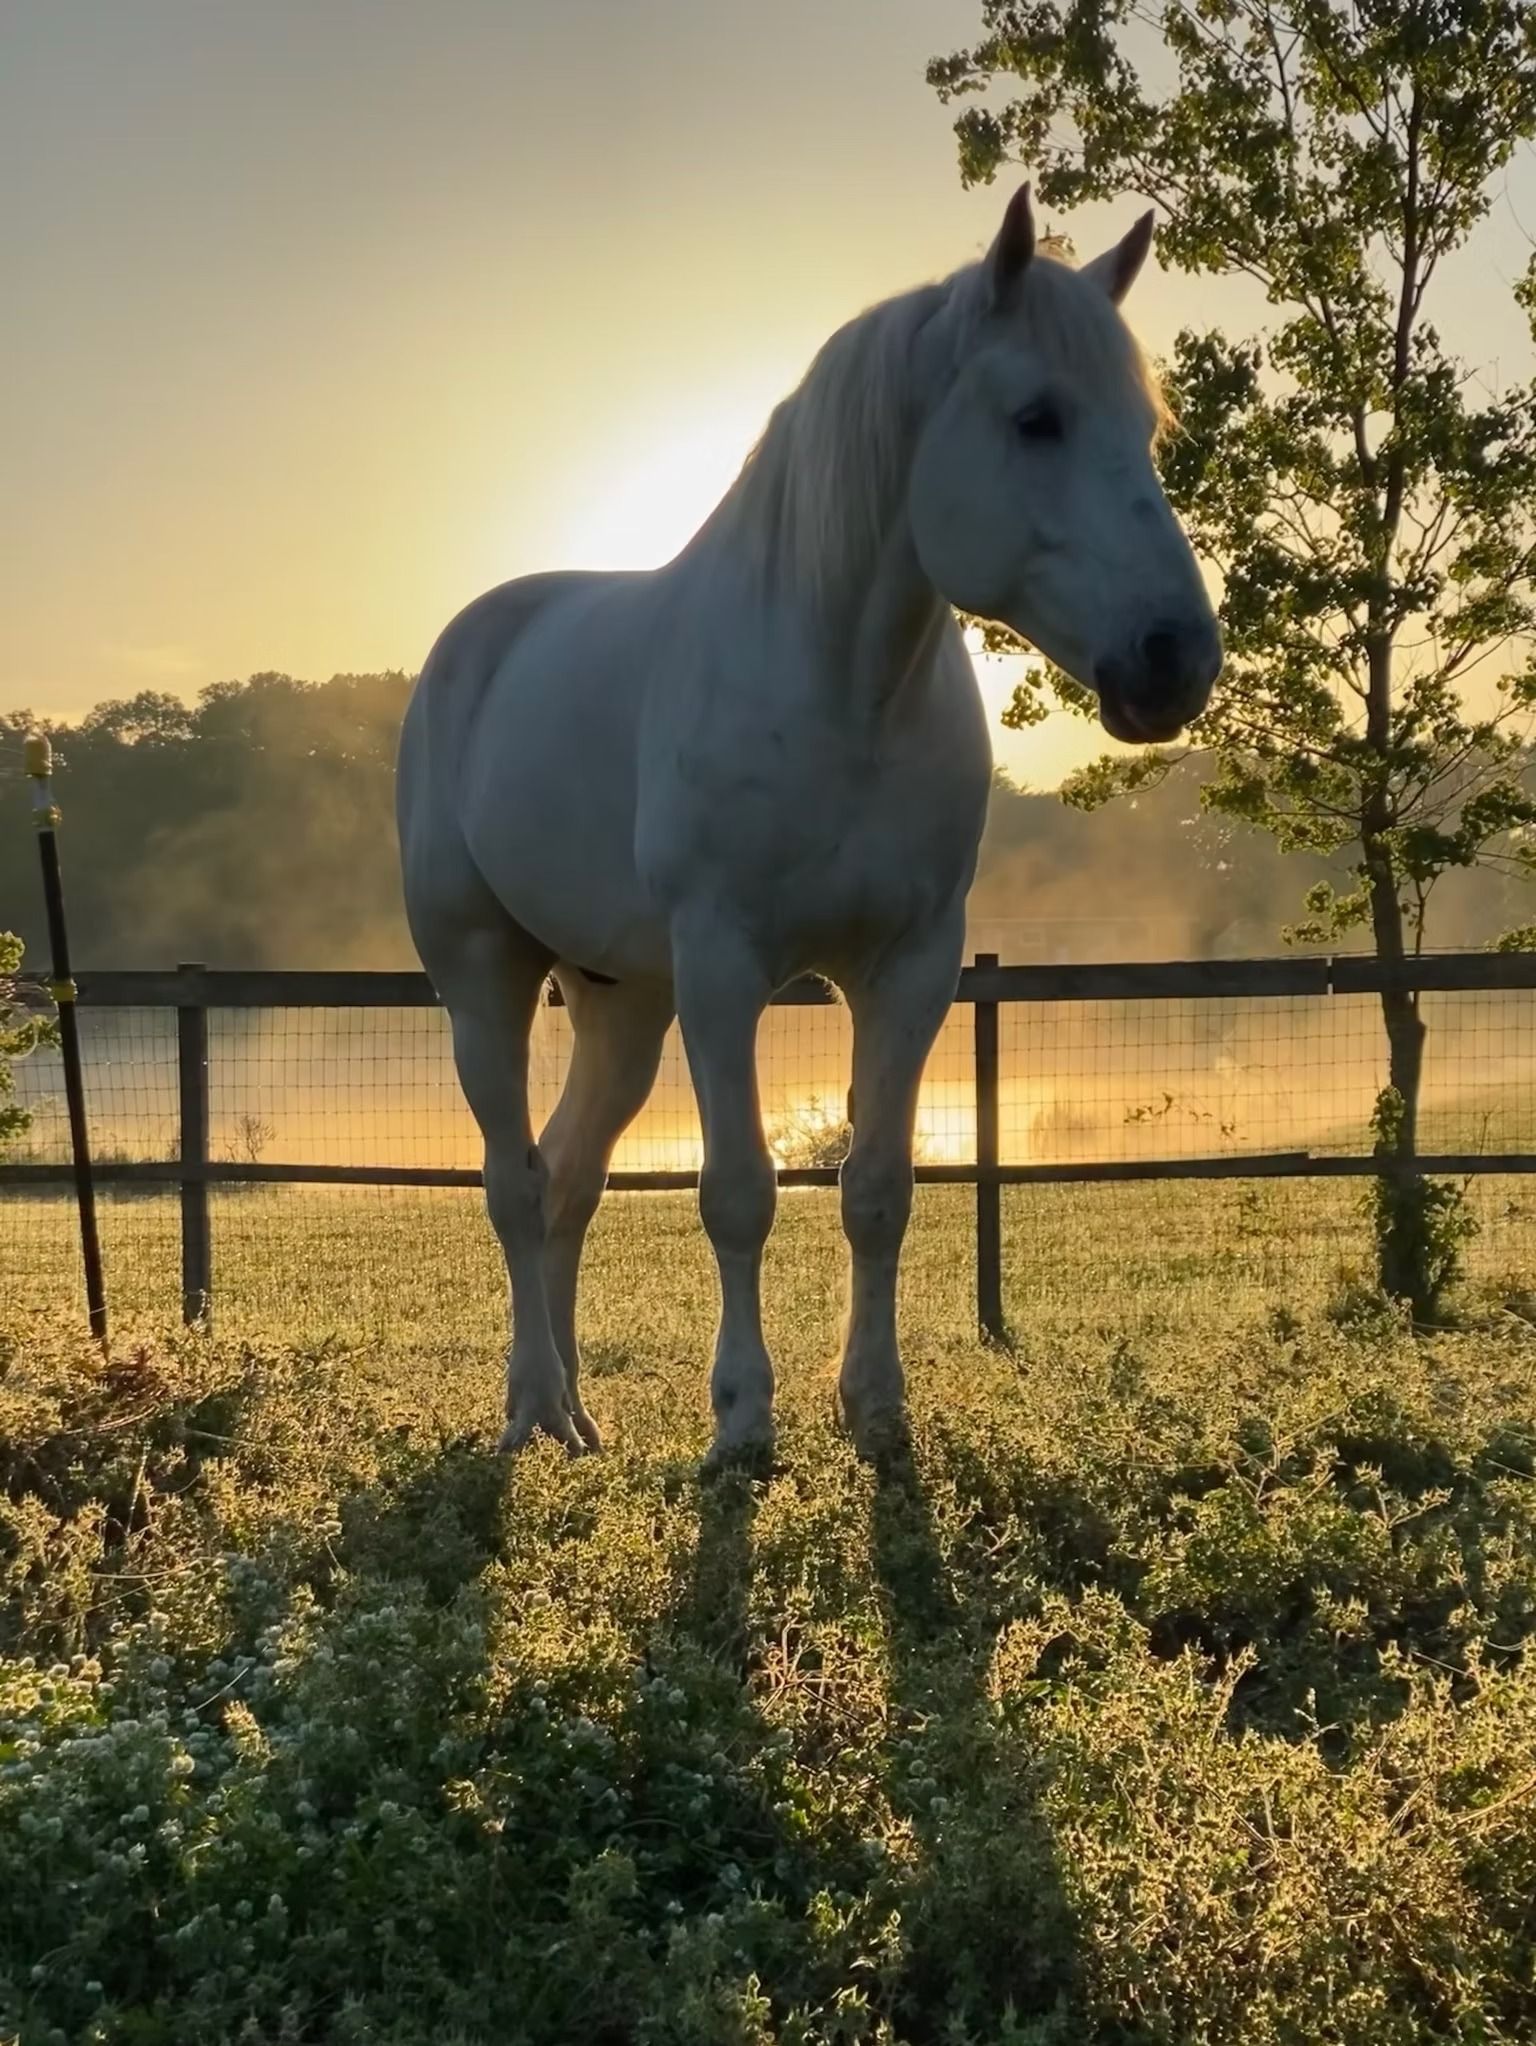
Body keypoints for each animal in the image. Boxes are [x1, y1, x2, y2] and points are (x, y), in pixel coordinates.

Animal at [396, 183, 1222, 1470]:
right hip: (484, 980)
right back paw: (531, 1407)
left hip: (620, 1004)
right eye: (1035, 418)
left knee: (571, 1177)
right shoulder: (725, 970)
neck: (843, 696)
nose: (1175, 658)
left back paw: (578, 1415)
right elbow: (738, 1192)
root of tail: (466, 647)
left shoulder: (910, 968)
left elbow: (877, 1190)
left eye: (1148, 427)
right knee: (514, 1186)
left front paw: (876, 1409)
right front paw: (742, 1419)